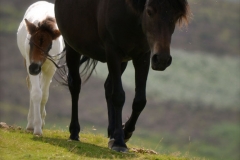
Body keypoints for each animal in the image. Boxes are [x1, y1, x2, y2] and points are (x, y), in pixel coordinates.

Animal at [16, 1, 64, 136]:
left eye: (49, 46)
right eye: (31, 42)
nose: (33, 69)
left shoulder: (50, 69)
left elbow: (44, 95)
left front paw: (40, 124)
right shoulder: (30, 61)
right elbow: (36, 93)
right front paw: (36, 128)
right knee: (31, 87)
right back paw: (30, 124)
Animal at [54, 0, 189, 152]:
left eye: (177, 15)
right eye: (149, 11)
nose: (162, 59)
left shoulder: (143, 55)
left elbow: (139, 100)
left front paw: (125, 132)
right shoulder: (113, 52)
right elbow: (118, 96)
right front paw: (119, 141)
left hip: (123, 61)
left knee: (108, 86)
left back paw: (111, 131)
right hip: (72, 47)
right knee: (75, 85)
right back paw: (74, 132)